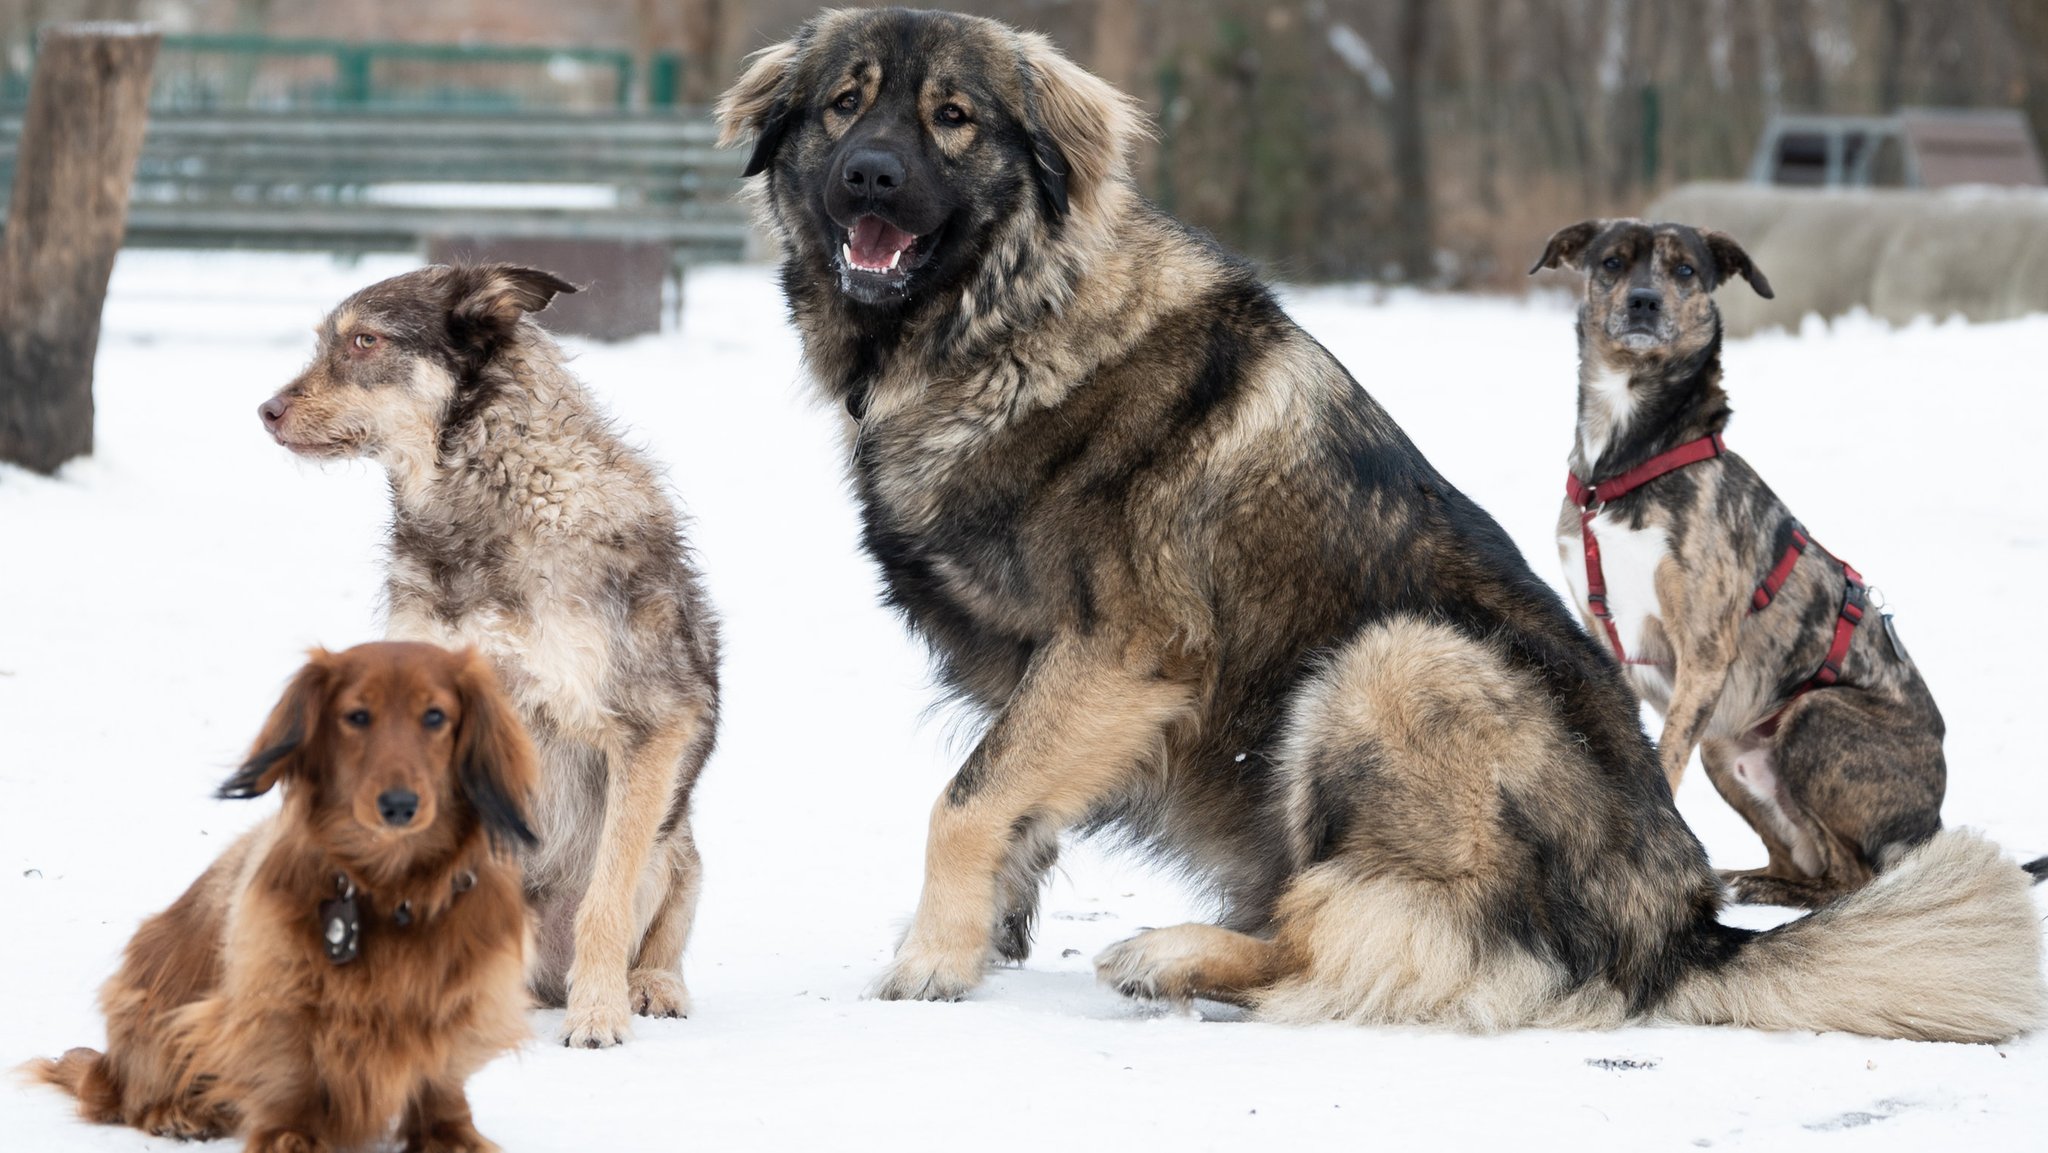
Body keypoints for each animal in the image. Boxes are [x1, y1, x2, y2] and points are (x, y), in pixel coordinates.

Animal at [32, 647, 536, 1146]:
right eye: (357, 716)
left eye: (435, 716)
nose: (398, 806)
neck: (391, 889)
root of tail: (105, 1067)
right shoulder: (277, 996)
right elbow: (292, 1072)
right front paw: (291, 1136)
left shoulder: (462, 996)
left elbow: (441, 1076)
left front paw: (450, 1133)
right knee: (137, 1097)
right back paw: (175, 1111)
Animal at [1540, 221, 1949, 905]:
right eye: (1613, 262)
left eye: (1684, 270)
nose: (1644, 302)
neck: (1623, 466)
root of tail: (1933, 825)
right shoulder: (1608, 642)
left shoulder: (1703, 649)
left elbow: (1662, 766)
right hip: (1726, 747)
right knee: (1804, 864)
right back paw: (1744, 882)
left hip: (1814, 718)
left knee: (1856, 878)